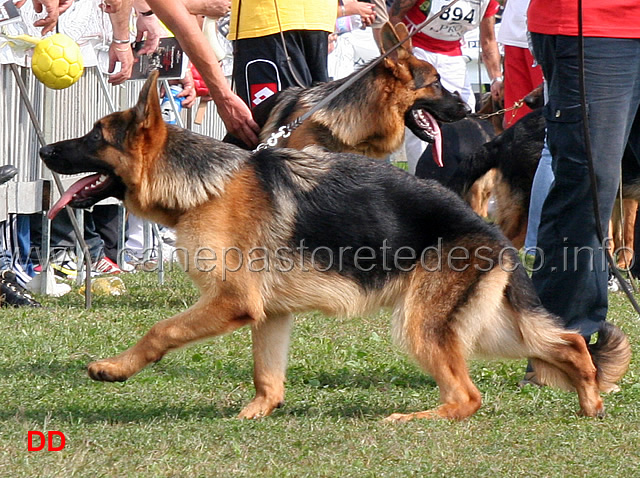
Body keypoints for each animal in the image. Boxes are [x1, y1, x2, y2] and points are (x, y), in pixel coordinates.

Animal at [40, 73, 632, 420]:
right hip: (482, 327)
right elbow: (267, 376)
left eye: (94, 137)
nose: (44, 151)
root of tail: (487, 232)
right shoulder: (268, 313)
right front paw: (255, 415)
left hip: (422, 326)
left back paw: (416, 420)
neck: (202, 185)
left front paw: (113, 369)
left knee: (468, 397)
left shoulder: (231, 302)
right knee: (569, 344)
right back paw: (591, 403)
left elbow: (159, 330)